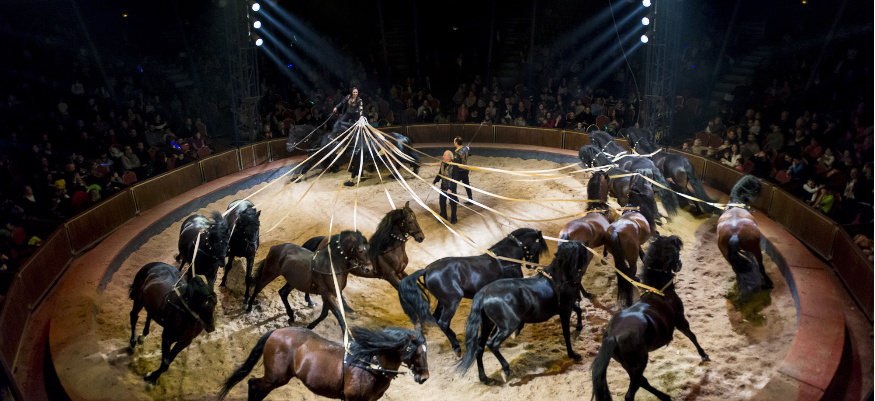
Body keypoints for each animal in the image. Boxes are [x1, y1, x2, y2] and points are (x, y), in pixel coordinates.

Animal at [218, 325, 428, 401]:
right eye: (415, 352)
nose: (425, 377)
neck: (369, 366)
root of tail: (276, 331)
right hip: (275, 377)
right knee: (253, 384)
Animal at [398, 228, 549, 357]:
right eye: (538, 246)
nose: (533, 265)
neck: (505, 259)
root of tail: (427, 270)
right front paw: (513, 332)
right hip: (452, 302)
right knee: (443, 323)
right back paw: (457, 348)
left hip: (443, 302)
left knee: (437, 318)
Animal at [455, 241, 590, 384]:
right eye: (582, 250)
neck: (559, 279)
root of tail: (483, 293)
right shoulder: (565, 310)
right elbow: (566, 334)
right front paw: (573, 354)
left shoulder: (565, 307)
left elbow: (579, 309)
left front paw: (579, 328)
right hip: (507, 326)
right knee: (492, 344)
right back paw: (505, 369)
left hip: (487, 325)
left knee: (479, 348)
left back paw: (485, 378)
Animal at [592, 235, 710, 401]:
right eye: (676, 249)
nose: (679, 264)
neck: (658, 291)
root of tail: (612, 336)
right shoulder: (681, 321)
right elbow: (692, 336)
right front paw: (704, 355)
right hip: (638, 364)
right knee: (631, 393)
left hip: (629, 366)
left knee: (643, 382)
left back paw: (664, 396)